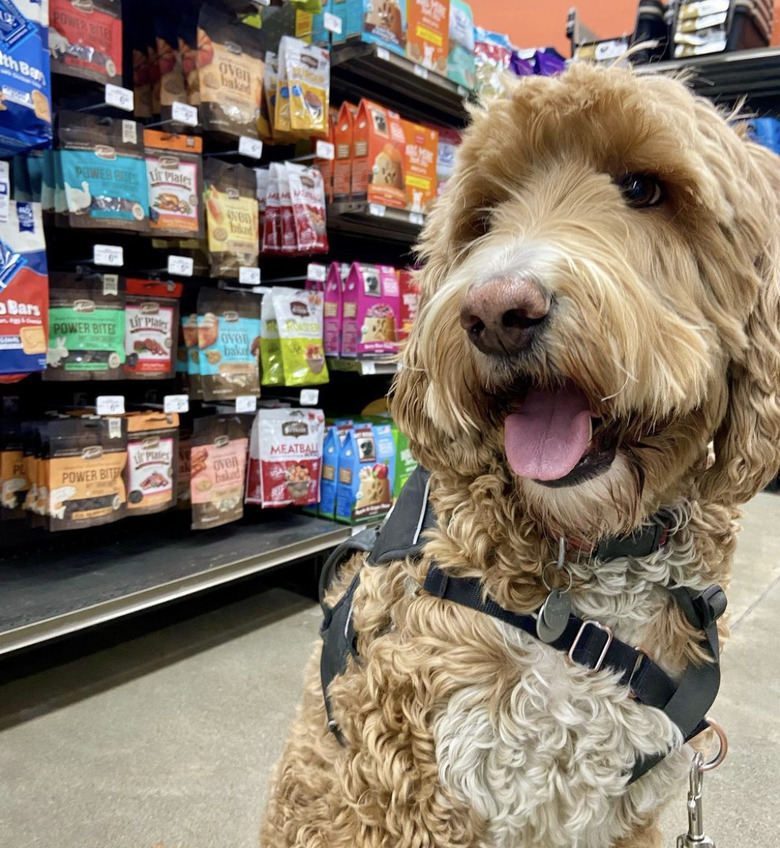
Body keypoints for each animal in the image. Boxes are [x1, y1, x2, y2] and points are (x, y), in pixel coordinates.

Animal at [260, 61, 780, 848]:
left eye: (643, 188)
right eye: (485, 215)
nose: (497, 312)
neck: (589, 565)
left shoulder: (630, 806)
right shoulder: (405, 790)